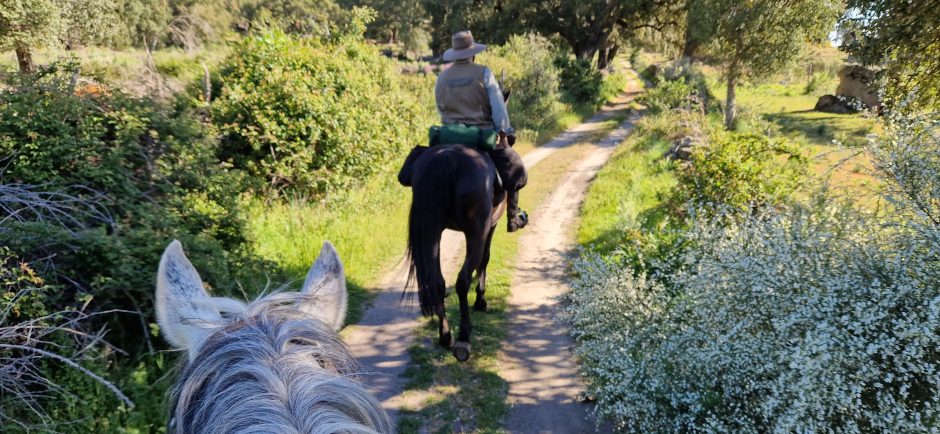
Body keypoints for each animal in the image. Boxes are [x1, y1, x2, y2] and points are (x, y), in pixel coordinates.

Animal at [404, 130, 508, 362]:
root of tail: (447, 157)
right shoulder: (491, 226)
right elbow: (486, 258)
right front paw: (481, 300)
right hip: (476, 233)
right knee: (462, 280)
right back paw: (463, 338)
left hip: (432, 231)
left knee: (437, 282)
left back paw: (445, 336)